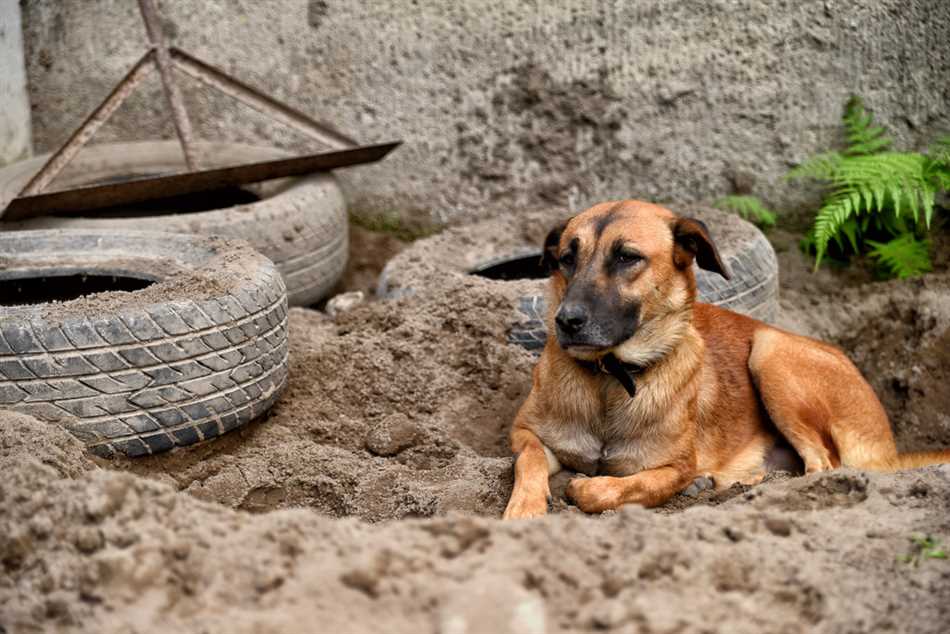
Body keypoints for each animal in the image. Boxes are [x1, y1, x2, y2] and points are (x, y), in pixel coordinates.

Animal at [502, 200, 948, 516]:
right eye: (566, 258)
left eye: (627, 257)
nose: (566, 321)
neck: (610, 376)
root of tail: (889, 449)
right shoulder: (525, 433)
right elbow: (529, 461)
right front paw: (524, 510)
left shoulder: (676, 466)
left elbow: (629, 485)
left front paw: (589, 487)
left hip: (770, 351)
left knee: (824, 466)